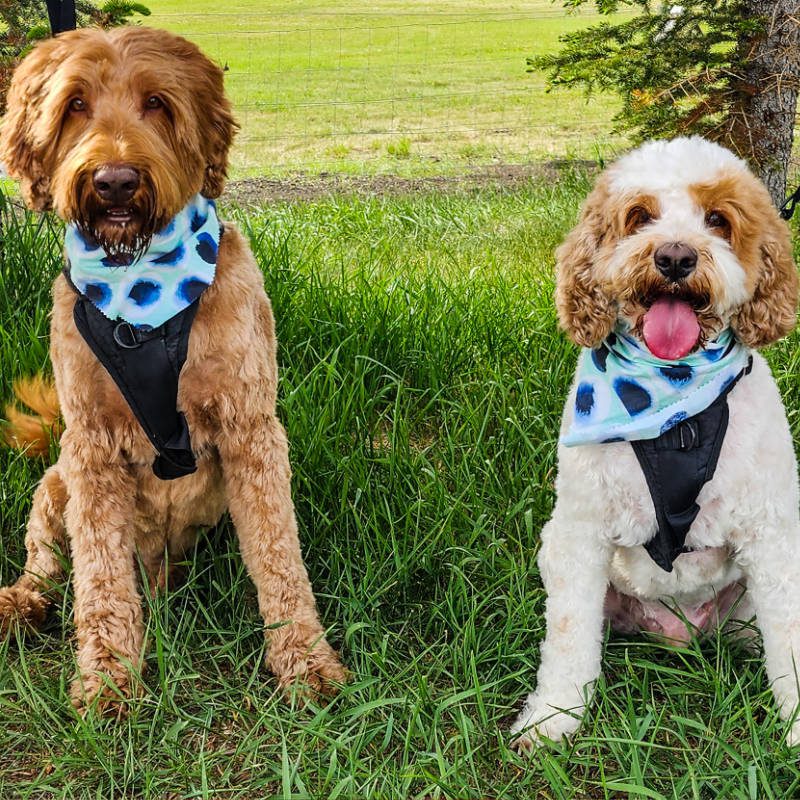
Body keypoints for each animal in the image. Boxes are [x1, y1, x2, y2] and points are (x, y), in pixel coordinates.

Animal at [0, 26, 346, 712]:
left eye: (157, 103)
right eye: (74, 105)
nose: (114, 181)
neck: (142, 297)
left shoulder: (251, 429)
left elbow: (279, 556)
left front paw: (306, 663)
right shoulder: (90, 447)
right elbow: (99, 578)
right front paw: (108, 680)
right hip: (55, 483)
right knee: (46, 564)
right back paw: (19, 604)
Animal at [512, 136, 800, 752]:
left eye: (718, 220)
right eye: (639, 216)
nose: (673, 258)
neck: (674, 405)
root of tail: (680, 630)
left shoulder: (772, 534)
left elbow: (788, 634)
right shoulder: (580, 532)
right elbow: (568, 638)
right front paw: (553, 719)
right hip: (558, 554)